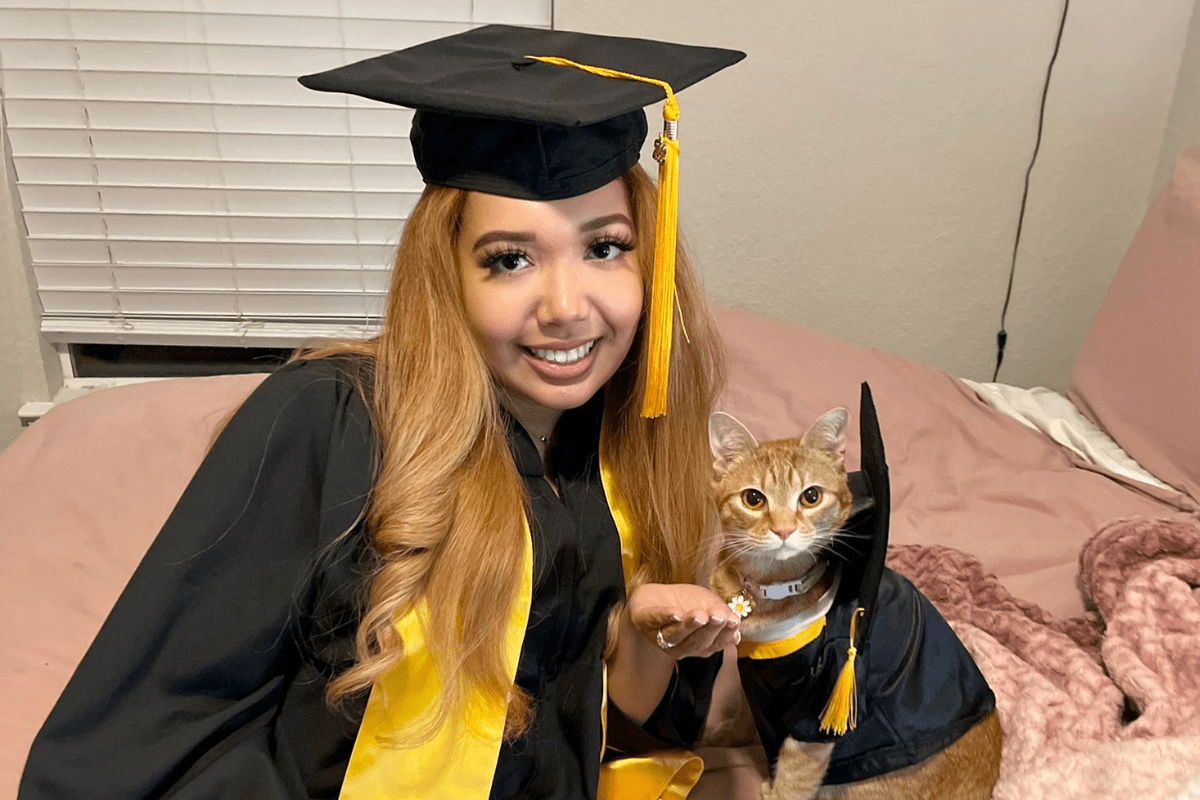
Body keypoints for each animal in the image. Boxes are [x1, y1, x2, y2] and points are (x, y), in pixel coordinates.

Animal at [705, 410, 998, 800]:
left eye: (811, 496)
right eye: (753, 499)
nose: (783, 530)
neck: (769, 588)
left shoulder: (815, 713)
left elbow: (793, 776)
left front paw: (772, 789)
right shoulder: (760, 669)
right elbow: (745, 709)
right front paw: (727, 735)